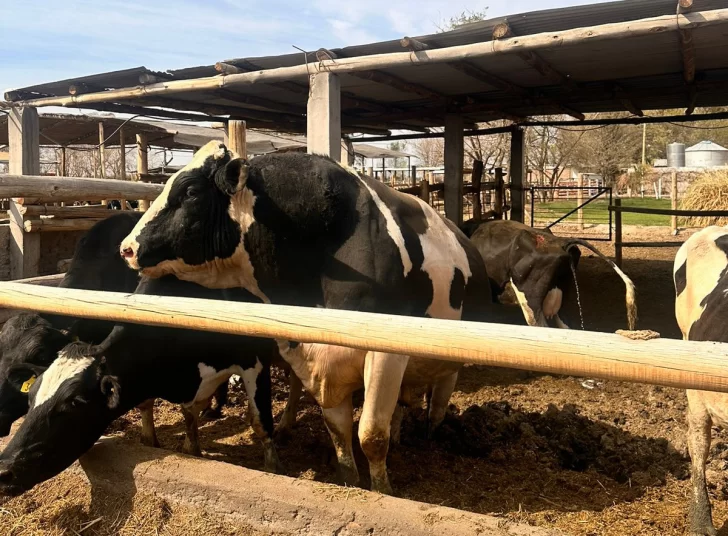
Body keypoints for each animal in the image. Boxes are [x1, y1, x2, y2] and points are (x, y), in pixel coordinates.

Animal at [0, 276, 282, 498]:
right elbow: (175, 418)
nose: (3, 471)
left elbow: (260, 421)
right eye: (30, 397)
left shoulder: (254, 361)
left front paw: (272, 469)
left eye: (76, 402)